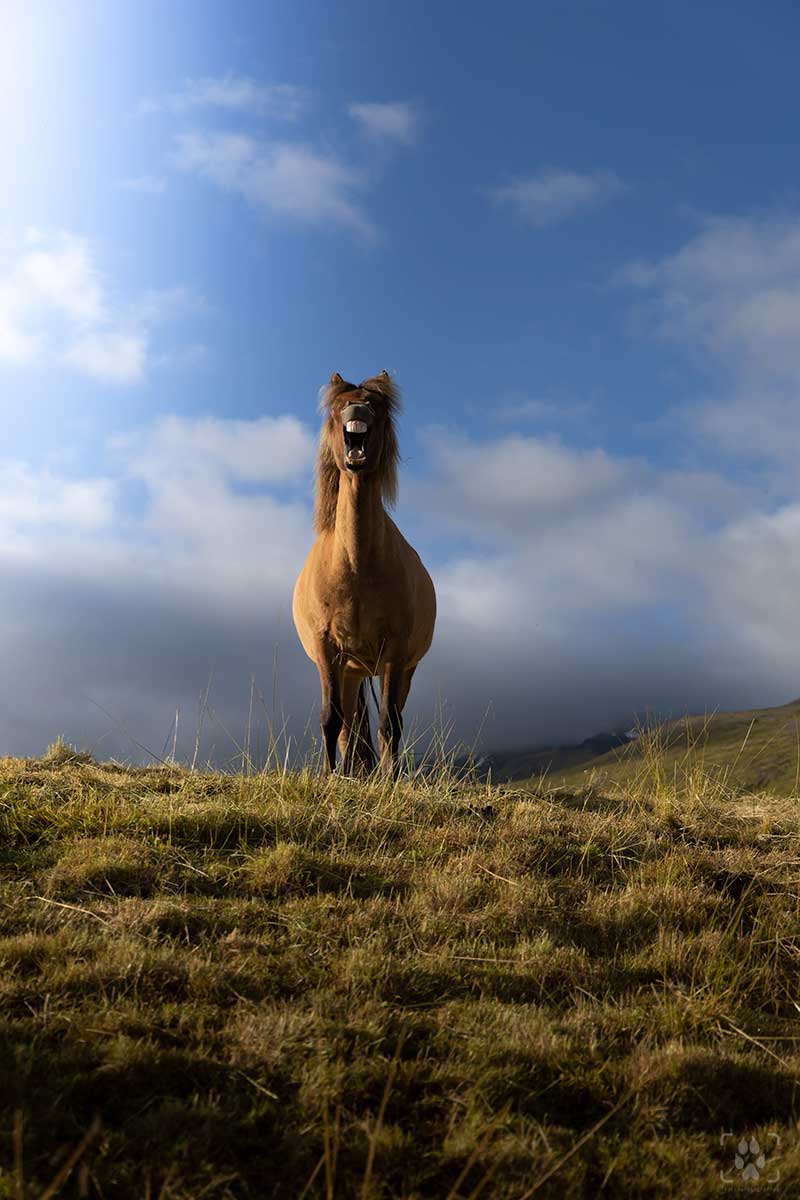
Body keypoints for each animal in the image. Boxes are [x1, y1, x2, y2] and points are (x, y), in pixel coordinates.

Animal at [292, 371, 436, 777]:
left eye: (374, 406)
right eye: (339, 407)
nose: (356, 411)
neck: (355, 566)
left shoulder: (395, 652)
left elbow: (389, 722)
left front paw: (390, 780)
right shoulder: (327, 649)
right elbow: (330, 719)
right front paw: (329, 777)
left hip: (396, 670)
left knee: (390, 719)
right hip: (349, 671)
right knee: (348, 723)